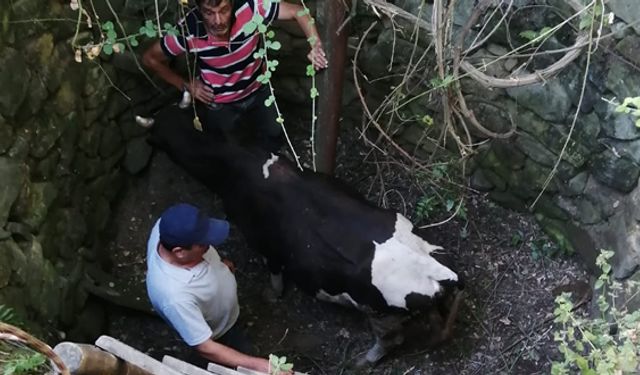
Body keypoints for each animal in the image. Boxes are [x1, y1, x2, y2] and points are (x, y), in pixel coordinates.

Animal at [146, 105, 464, 364]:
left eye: (160, 137)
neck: (237, 161)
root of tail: (439, 273)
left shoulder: (265, 244)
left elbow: (274, 274)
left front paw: (271, 295)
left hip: (381, 314)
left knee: (390, 340)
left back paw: (365, 360)